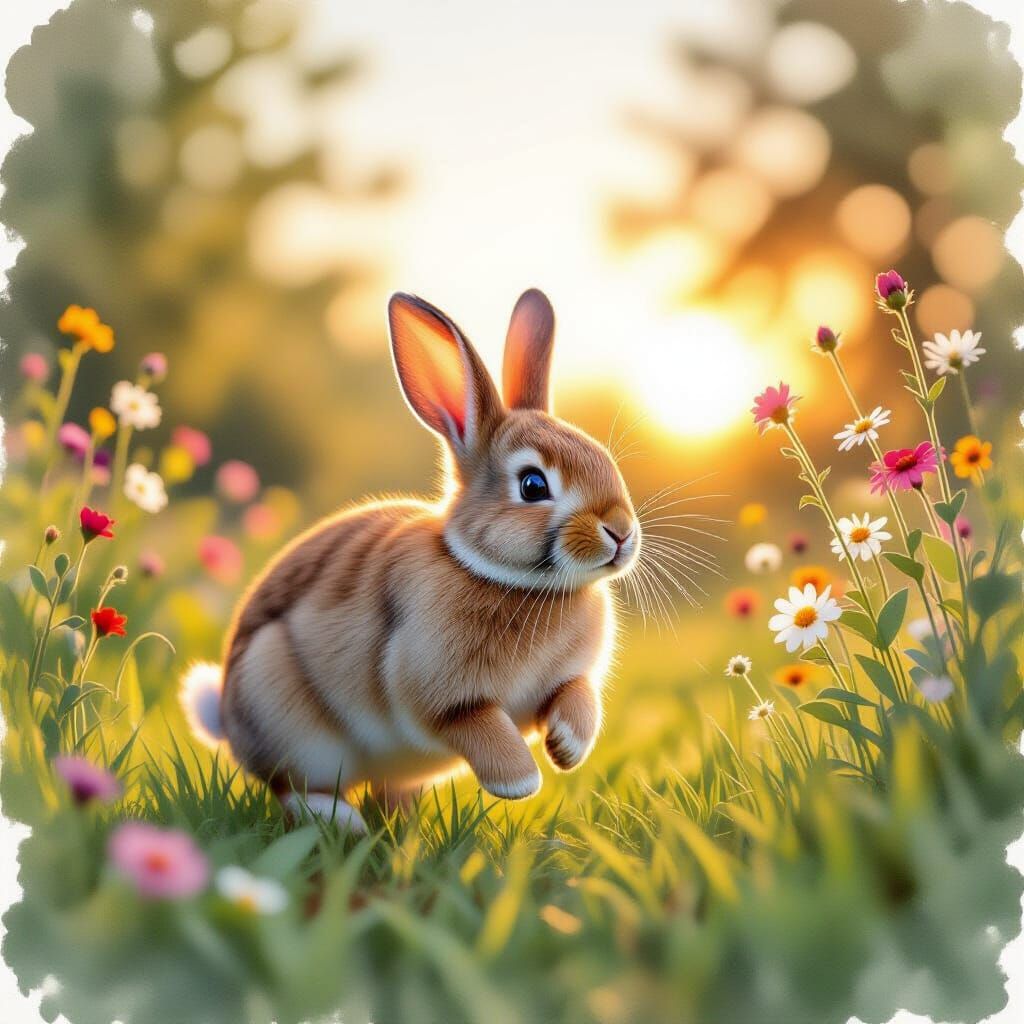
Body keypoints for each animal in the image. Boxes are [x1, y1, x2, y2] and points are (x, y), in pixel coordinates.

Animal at [180, 289, 640, 832]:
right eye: (532, 485)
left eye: (604, 459)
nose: (621, 532)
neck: (511, 577)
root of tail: (227, 719)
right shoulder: (437, 691)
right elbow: (477, 723)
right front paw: (520, 781)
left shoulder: (569, 679)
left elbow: (578, 695)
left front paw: (567, 748)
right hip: (291, 724)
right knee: (291, 788)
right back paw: (344, 822)